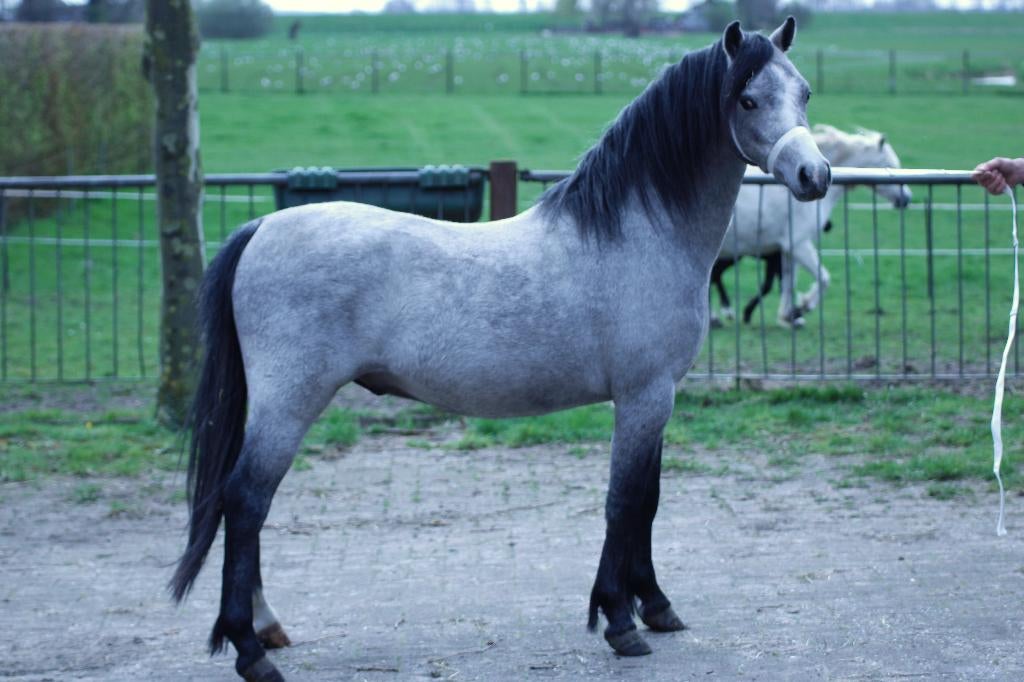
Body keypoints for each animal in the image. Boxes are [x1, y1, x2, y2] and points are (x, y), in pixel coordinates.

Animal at [170, 18, 830, 682]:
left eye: (802, 92)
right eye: (747, 100)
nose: (815, 175)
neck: (638, 234)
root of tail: (261, 228)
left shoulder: (659, 398)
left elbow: (647, 500)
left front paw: (657, 607)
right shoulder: (643, 396)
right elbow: (623, 502)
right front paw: (620, 622)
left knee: (245, 505)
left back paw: (266, 628)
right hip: (289, 402)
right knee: (246, 501)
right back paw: (250, 649)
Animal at [711, 125, 911, 328]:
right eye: (890, 165)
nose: (906, 199)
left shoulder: (786, 250)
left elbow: (789, 282)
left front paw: (789, 316)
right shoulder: (799, 245)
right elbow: (823, 278)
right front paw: (803, 307)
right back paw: (716, 318)